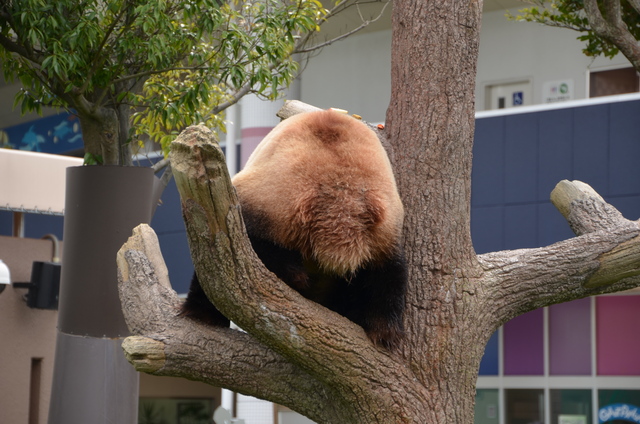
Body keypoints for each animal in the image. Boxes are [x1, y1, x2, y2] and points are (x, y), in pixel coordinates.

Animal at [180, 110, 408, 352]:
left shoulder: (382, 231)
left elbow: (387, 273)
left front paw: (384, 333)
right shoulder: (273, 201)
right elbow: (247, 243)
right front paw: (296, 275)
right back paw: (202, 314)